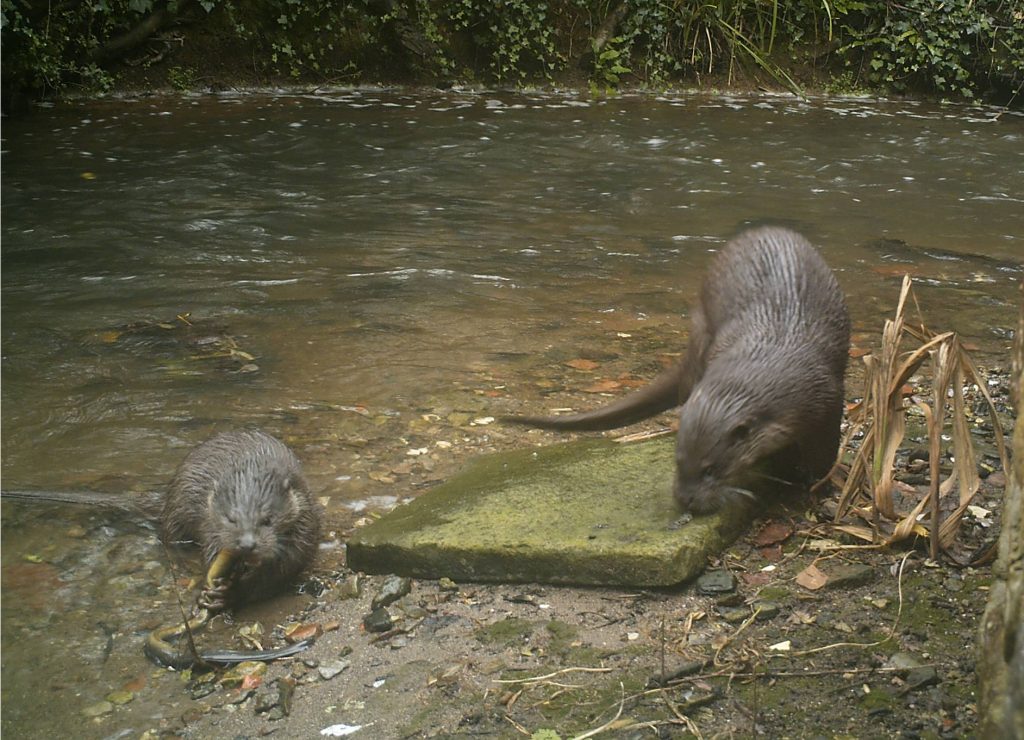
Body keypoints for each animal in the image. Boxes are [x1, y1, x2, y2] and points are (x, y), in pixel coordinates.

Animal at [505, 226, 851, 514]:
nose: (686, 500)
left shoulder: (827, 399)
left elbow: (824, 452)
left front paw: (814, 484)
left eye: (711, 469)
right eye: (678, 461)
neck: (775, 351)